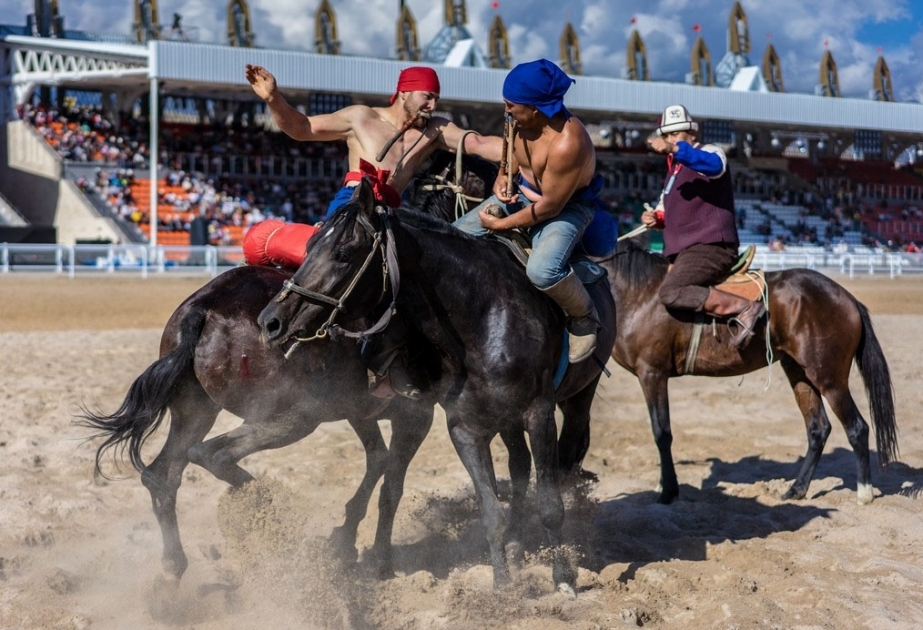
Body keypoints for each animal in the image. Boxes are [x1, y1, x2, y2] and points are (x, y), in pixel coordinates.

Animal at [256, 181, 616, 592]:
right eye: (310, 244)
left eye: (343, 254)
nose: (271, 321)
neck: (485, 316)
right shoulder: (464, 428)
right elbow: (490, 511)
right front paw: (502, 587)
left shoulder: (539, 415)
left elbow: (551, 505)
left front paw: (563, 579)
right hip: (504, 420)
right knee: (519, 465)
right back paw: (517, 541)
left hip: (577, 398)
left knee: (564, 459)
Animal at [588, 239, 900, 506]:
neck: (641, 294)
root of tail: (847, 298)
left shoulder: (652, 374)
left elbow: (661, 433)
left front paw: (668, 492)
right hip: (799, 373)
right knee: (818, 429)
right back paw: (796, 489)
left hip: (829, 380)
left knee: (857, 428)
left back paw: (864, 493)